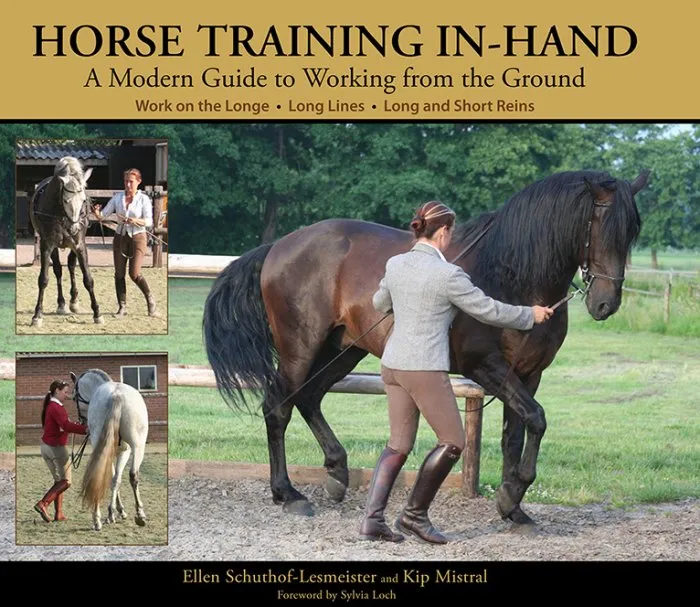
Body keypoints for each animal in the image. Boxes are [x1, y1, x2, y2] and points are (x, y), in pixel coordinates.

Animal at [29, 156, 103, 327]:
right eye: (66, 200)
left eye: (83, 200)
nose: (74, 227)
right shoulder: (47, 245)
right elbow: (43, 279)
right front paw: (37, 315)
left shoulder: (80, 245)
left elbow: (88, 279)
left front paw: (97, 313)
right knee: (58, 269)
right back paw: (62, 304)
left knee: (70, 264)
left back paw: (73, 301)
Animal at [70, 368, 149, 531]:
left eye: (74, 397)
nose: (82, 422)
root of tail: (116, 395)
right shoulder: (124, 451)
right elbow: (116, 479)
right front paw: (117, 512)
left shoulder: (120, 451)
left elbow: (114, 479)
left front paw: (115, 512)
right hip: (137, 447)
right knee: (133, 475)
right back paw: (139, 514)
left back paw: (97, 519)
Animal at [203, 169, 649, 524]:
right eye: (599, 225)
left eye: (632, 232)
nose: (605, 304)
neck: (512, 276)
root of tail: (280, 247)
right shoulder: (485, 367)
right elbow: (536, 419)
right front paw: (511, 495)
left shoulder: (528, 374)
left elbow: (517, 434)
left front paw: (514, 508)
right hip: (301, 347)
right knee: (278, 406)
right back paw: (288, 494)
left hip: (344, 348)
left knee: (310, 398)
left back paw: (337, 474)